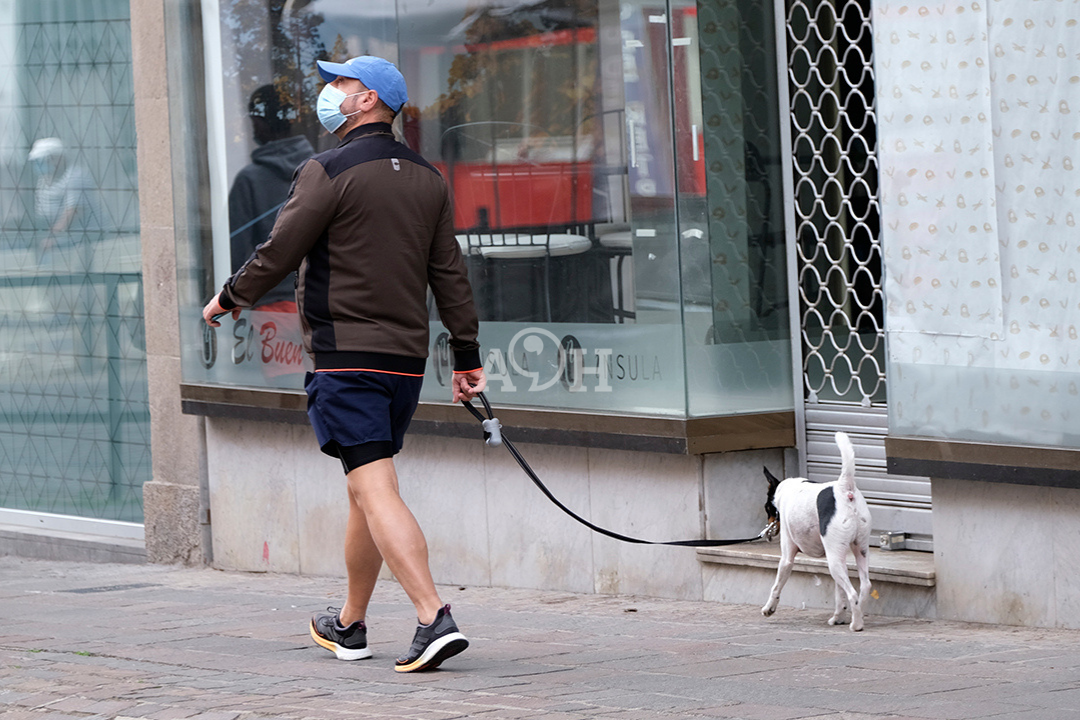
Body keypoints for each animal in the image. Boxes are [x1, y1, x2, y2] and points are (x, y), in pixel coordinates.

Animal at [760, 431, 872, 631]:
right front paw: (839, 617)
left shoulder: (786, 558)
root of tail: (845, 488)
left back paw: (856, 625)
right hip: (857, 552)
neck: (785, 491)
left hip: (834, 562)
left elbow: (776, 586)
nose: (768, 527)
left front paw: (769, 608)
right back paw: (855, 616)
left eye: (766, 508)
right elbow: (839, 594)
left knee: (852, 593)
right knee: (864, 587)